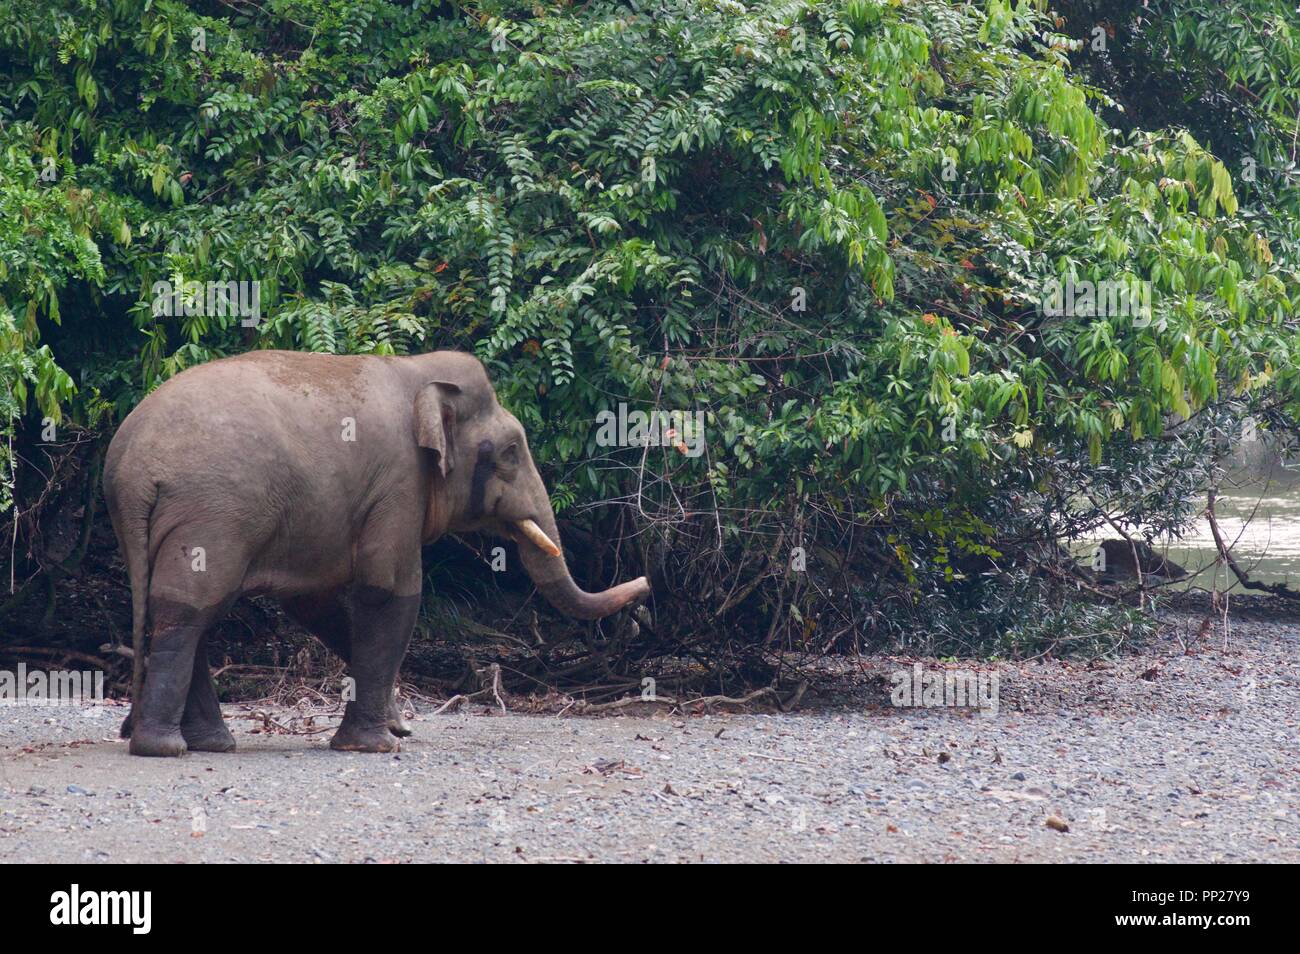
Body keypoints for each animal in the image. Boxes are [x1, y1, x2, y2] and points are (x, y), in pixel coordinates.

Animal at [102, 353, 650, 764]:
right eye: (512, 451)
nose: (645, 587)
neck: (417, 371)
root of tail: (131, 466)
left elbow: (316, 604)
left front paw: (396, 724)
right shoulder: (398, 484)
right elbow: (389, 591)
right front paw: (378, 744)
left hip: (157, 525)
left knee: (174, 608)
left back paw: (205, 744)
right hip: (211, 517)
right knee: (191, 609)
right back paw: (166, 749)